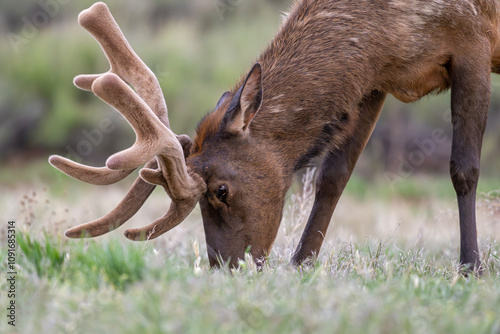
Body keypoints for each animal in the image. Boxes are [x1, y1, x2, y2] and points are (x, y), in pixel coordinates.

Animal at [49, 1, 500, 270]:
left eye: (221, 190)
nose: (227, 267)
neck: (390, 31)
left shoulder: (473, 40)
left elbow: (464, 169)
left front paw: (471, 267)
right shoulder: (374, 80)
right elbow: (333, 178)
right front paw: (302, 263)